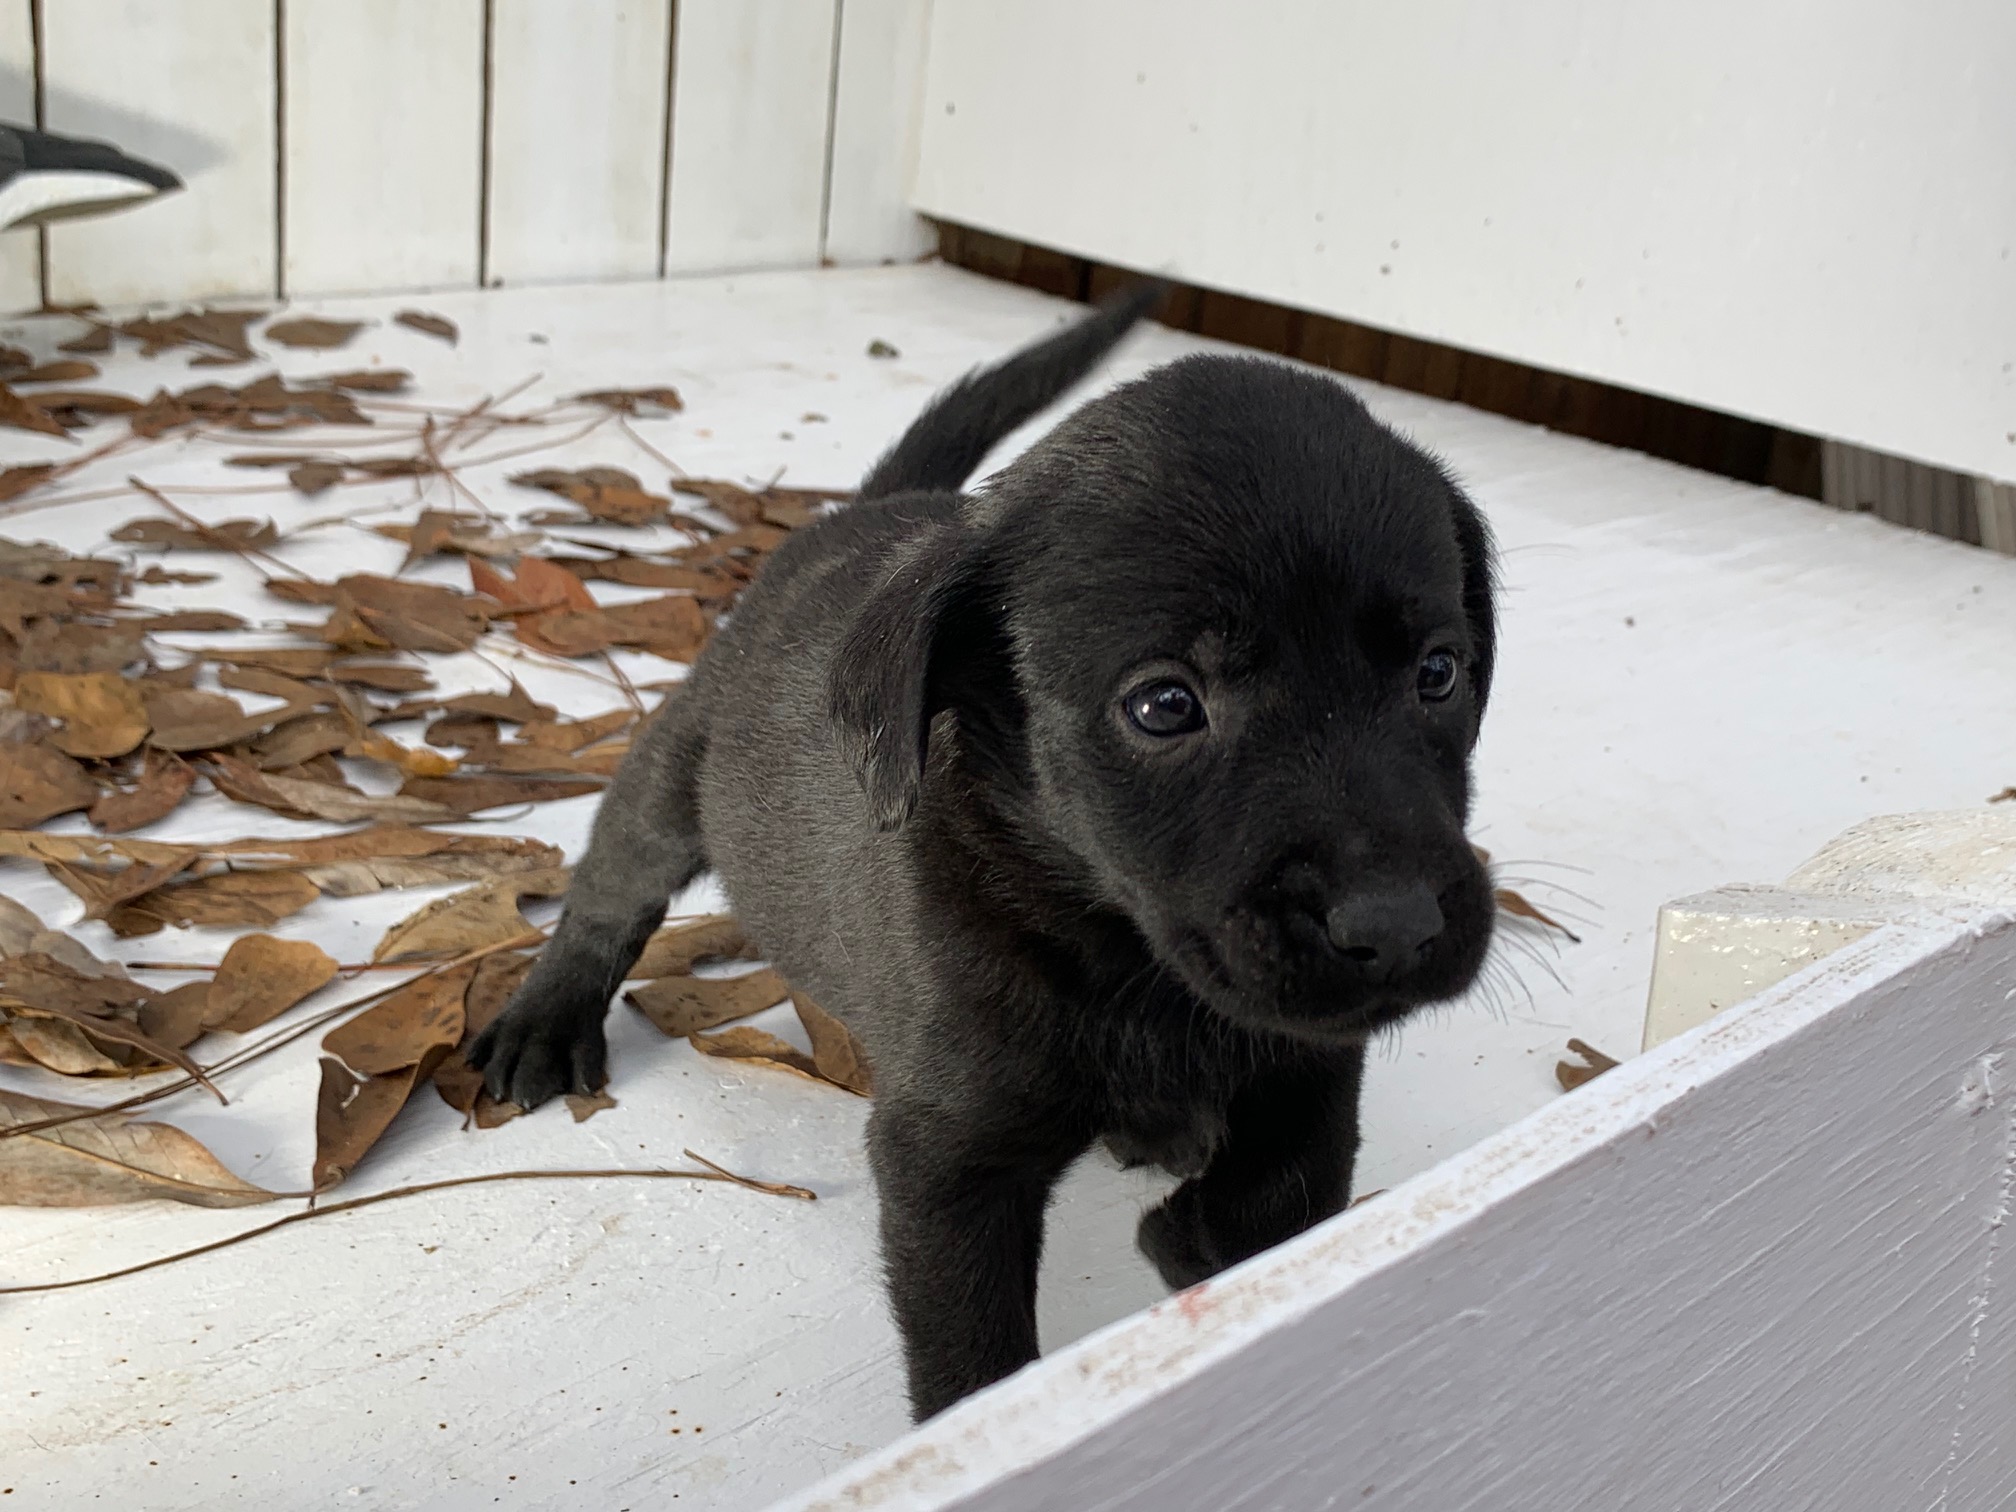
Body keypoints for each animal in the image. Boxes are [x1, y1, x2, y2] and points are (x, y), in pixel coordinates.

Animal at [468, 286, 1500, 1421]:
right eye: (1165, 704)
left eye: (1440, 672)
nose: (1397, 927)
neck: (1121, 952)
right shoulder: (951, 1160)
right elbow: (975, 1367)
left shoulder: (1313, 1063)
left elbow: (1283, 1187)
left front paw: (1195, 1232)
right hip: (667, 786)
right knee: (608, 896)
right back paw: (546, 1019)